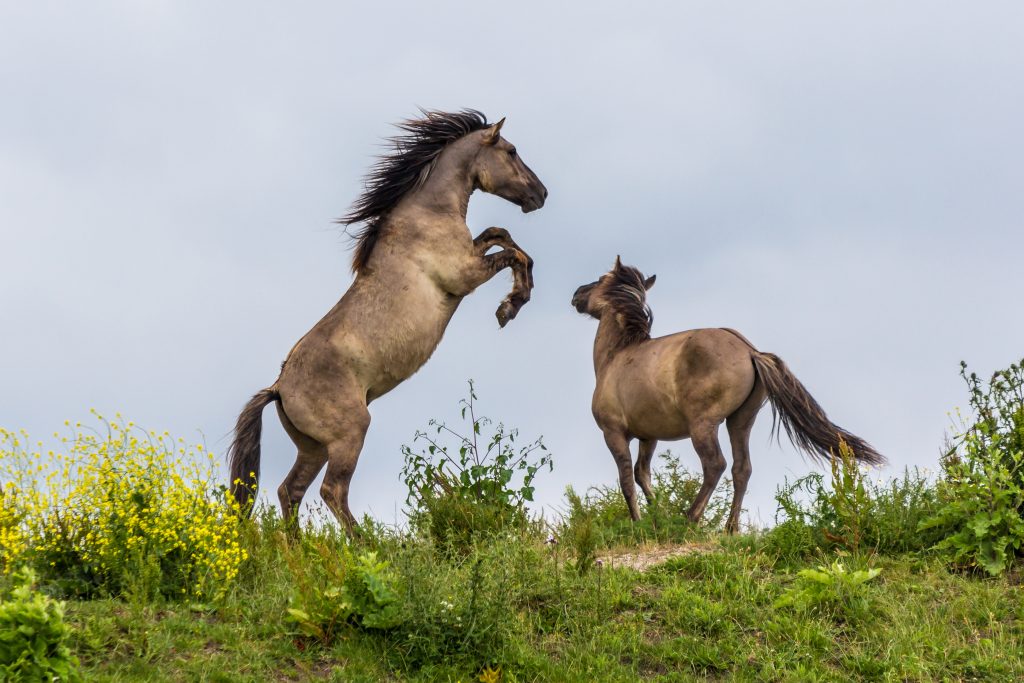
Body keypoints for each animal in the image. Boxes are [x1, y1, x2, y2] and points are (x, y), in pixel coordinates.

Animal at [229, 109, 548, 530]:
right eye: (511, 151)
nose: (540, 194)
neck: (425, 216)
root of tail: (279, 387)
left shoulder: (472, 254)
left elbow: (500, 234)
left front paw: (514, 298)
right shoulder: (465, 275)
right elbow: (513, 253)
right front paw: (510, 306)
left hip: (313, 447)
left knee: (290, 491)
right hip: (349, 435)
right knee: (332, 491)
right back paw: (367, 542)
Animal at [571, 258, 884, 533]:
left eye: (600, 278)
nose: (576, 294)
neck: (617, 355)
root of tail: (750, 351)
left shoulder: (614, 433)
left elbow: (626, 479)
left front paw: (639, 525)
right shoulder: (649, 436)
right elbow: (642, 475)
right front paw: (657, 519)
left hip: (703, 425)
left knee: (715, 465)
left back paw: (691, 519)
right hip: (740, 421)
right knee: (741, 469)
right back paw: (730, 529)